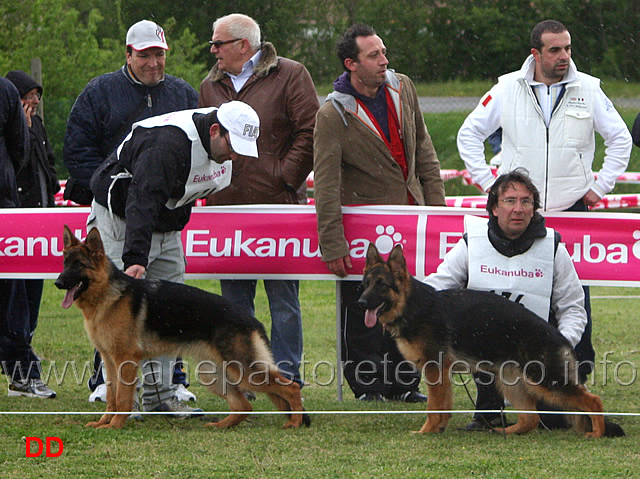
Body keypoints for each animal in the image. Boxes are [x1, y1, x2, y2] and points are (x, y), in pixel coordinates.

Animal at [53, 225, 308, 432]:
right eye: (65, 264)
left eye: (78, 265)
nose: (57, 282)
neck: (108, 294)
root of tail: (251, 319)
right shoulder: (109, 360)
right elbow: (111, 398)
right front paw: (104, 422)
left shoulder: (125, 360)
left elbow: (123, 399)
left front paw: (115, 426)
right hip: (213, 374)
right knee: (244, 406)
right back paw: (220, 425)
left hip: (243, 371)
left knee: (291, 387)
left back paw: (295, 422)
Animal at [360, 244, 608, 438]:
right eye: (366, 283)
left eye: (381, 284)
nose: (361, 302)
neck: (411, 305)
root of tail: (559, 336)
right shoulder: (442, 373)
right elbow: (444, 406)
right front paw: (438, 428)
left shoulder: (435, 369)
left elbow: (433, 406)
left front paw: (426, 431)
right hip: (511, 381)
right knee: (531, 419)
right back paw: (504, 431)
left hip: (545, 381)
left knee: (593, 400)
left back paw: (597, 432)